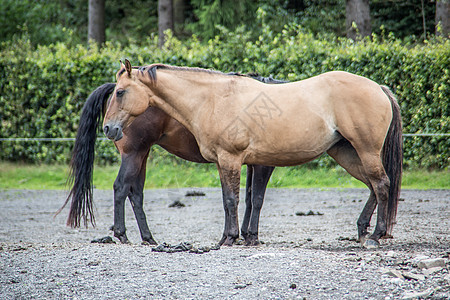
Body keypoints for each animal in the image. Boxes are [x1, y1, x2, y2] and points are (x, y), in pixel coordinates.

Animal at [62, 75, 284, 246]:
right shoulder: (262, 164)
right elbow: (256, 199)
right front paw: (251, 237)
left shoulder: (245, 163)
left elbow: (246, 198)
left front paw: (241, 235)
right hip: (133, 154)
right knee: (121, 188)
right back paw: (122, 234)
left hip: (142, 155)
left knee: (136, 194)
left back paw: (148, 237)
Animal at [103, 59, 404, 247]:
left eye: (121, 92)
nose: (108, 128)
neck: (213, 99)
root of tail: (379, 88)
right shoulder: (228, 162)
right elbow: (234, 200)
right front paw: (230, 237)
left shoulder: (232, 159)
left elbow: (235, 200)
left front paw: (232, 237)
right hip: (346, 154)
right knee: (374, 186)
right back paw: (364, 230)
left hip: (365, 151)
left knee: (381, 184)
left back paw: (375, 235)